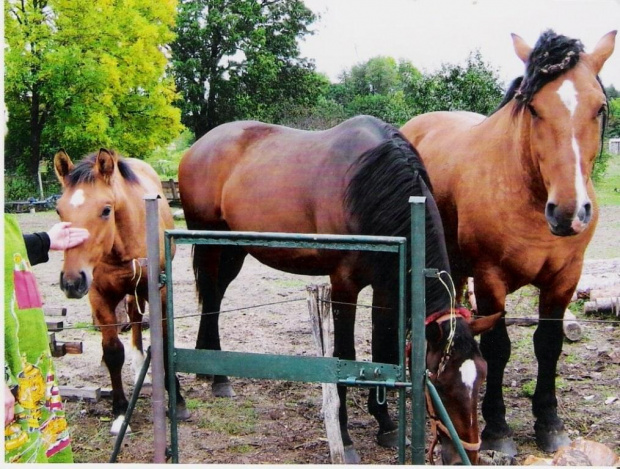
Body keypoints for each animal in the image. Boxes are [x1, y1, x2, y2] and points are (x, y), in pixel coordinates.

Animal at [52, 150, 189, 436]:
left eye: (106, 210)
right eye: (59, 210)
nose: (71, 281)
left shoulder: (159, 292)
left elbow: (164, 342)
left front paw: (178, 400)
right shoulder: (99, 297)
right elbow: (113, 352)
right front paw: (119, 412)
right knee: (134, 319)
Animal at [178, 115, 504, 462]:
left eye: (481, 376)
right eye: (439, 382)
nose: (465, 456)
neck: (369, 187)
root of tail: (200, 146)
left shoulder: (385, 287)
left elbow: (381, 349)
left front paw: (386, 425)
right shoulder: (344, 284)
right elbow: (345, 355)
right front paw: (345, 436)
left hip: (234, 247)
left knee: (215, 296)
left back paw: (210, 368)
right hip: (209, 243)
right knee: (210, 293)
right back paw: (218, 378)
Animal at [400, 29, 616, 454]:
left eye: (599, 107)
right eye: (532, 107)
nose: (569, 211)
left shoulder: (565, 278)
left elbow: (548, 344)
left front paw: (549, 422)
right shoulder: (491, 279)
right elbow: (498, 347)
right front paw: (498, 429)